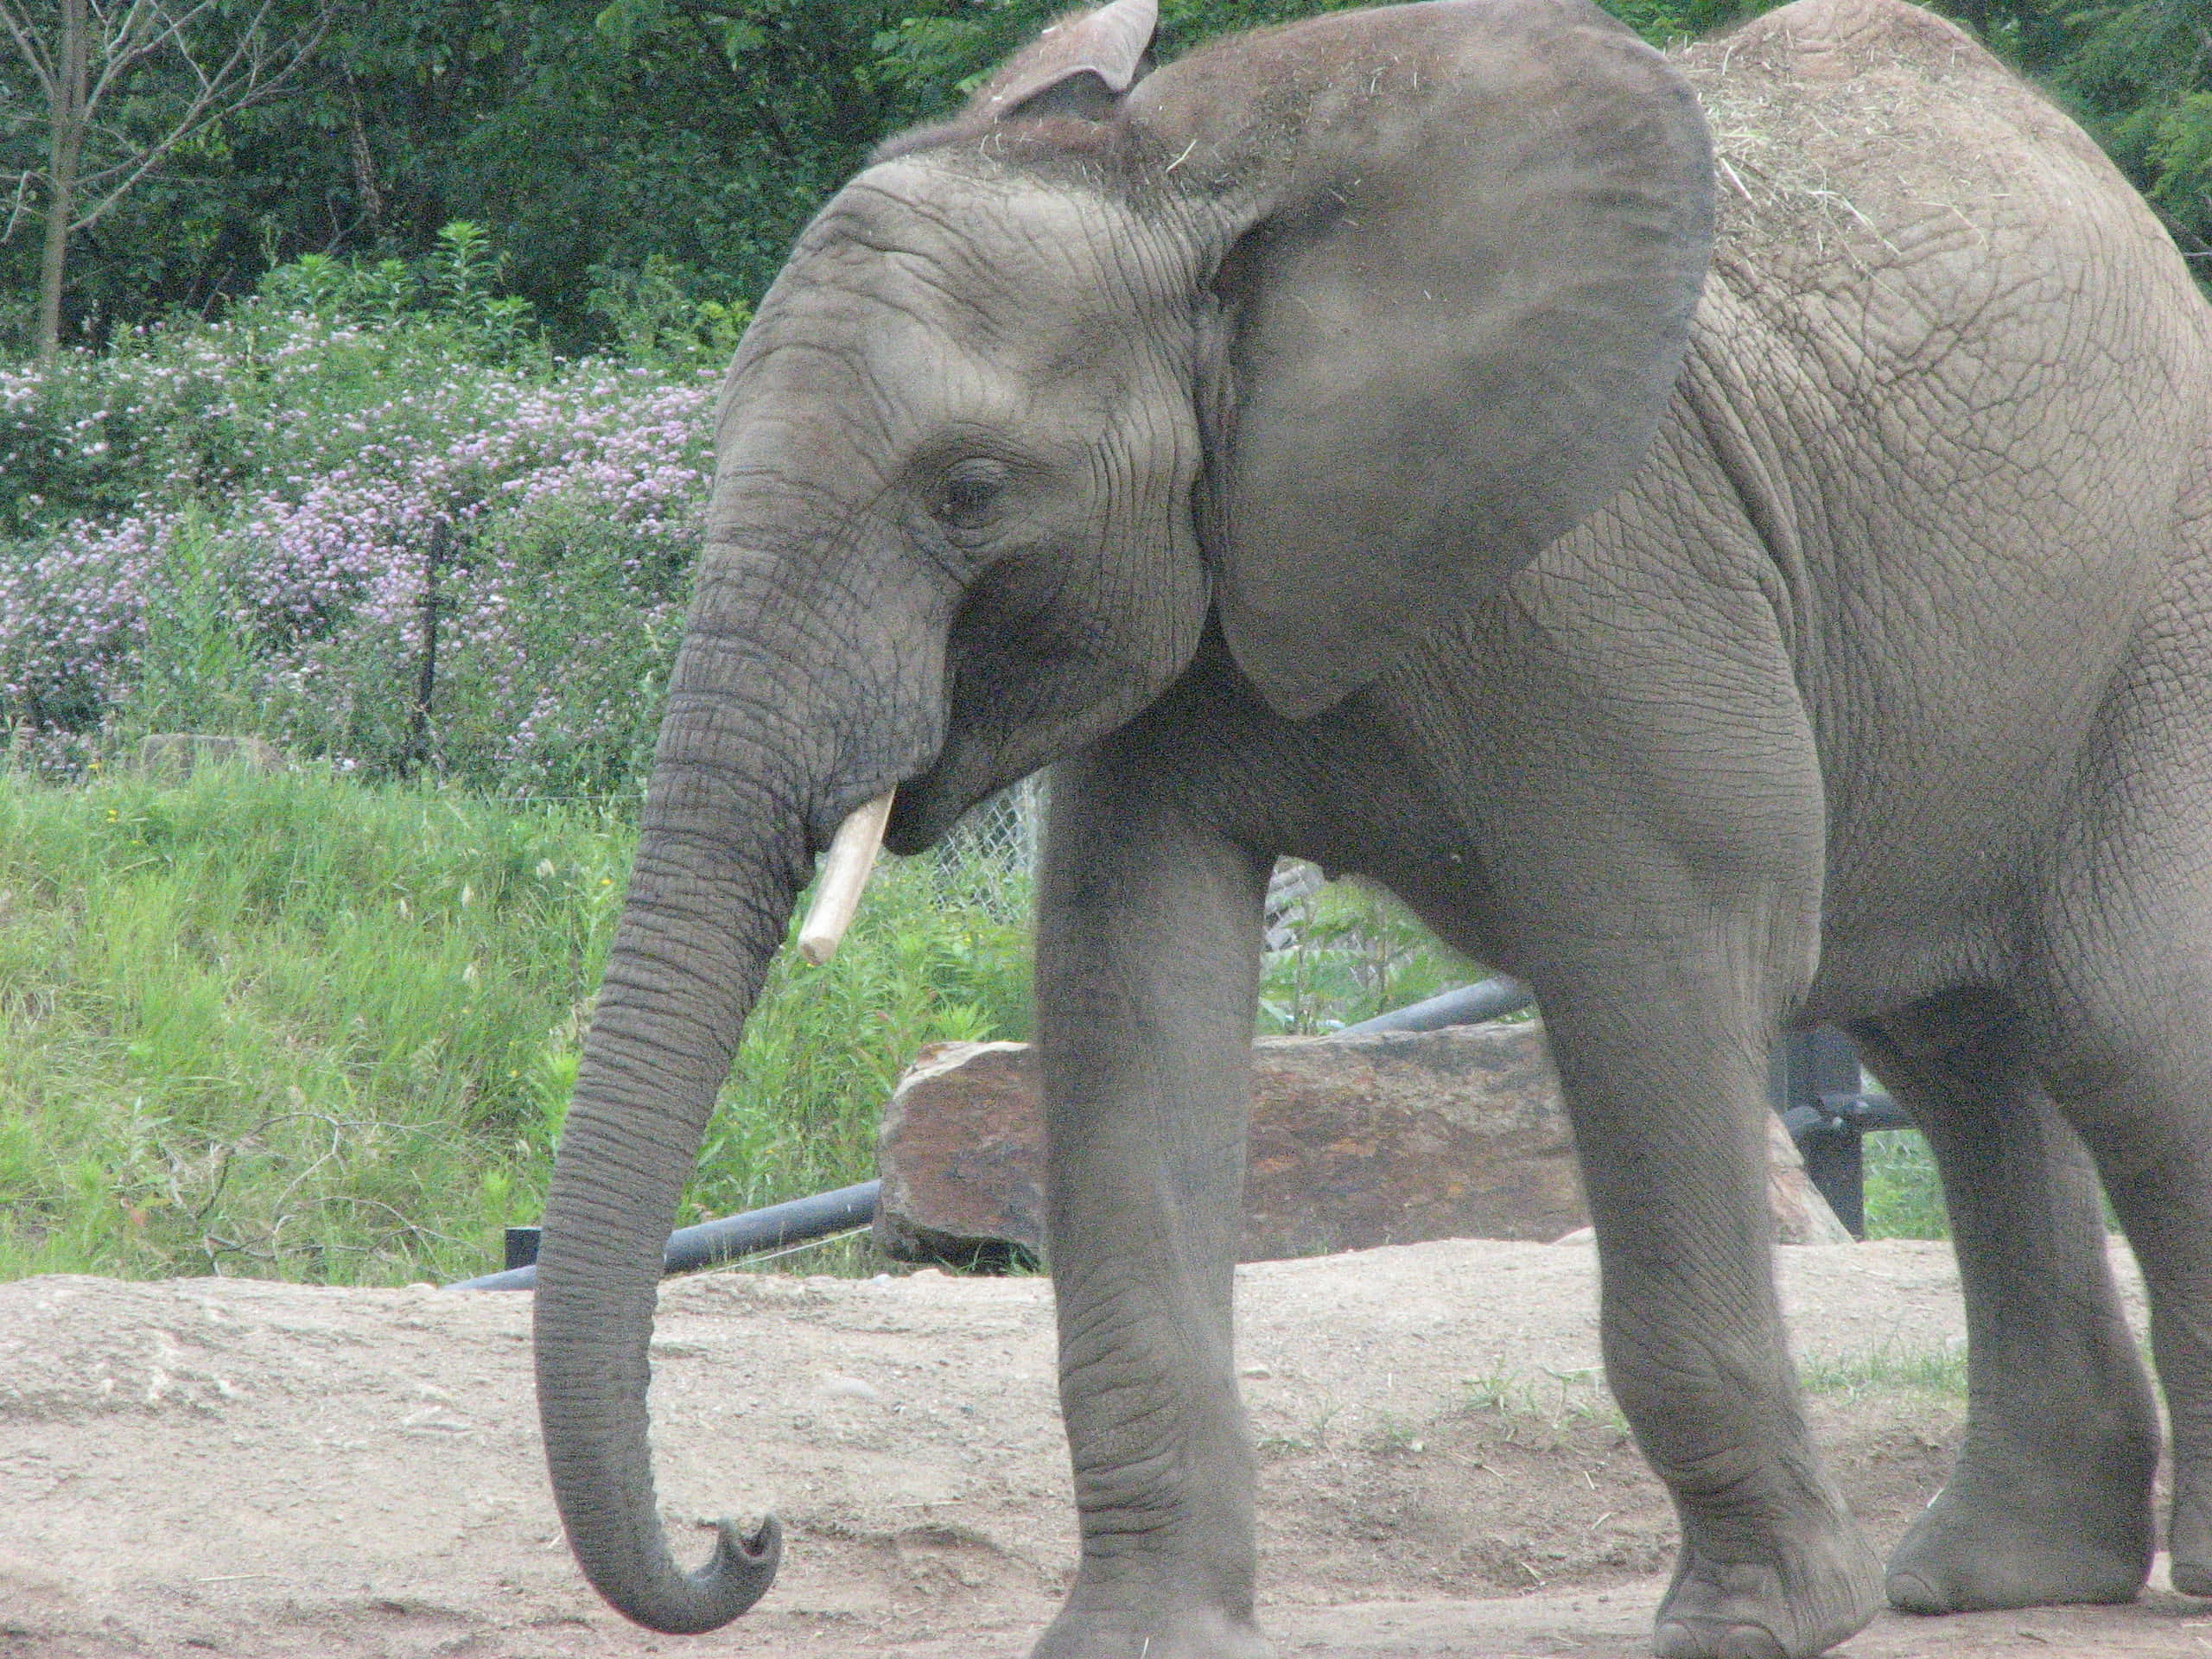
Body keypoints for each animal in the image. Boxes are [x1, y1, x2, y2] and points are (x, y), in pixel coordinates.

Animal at [527, 0, 2212, 1653]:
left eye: (970, 491)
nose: (748, 1534)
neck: (1175, 191)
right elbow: (1127, 985)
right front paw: (1137, 1638)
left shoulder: (1606, 567)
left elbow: (1659, 960)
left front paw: (1755, 1628)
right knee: (1952, 1051)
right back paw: (1999, 1575)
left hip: (2162, 606)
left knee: (2117, 1030)